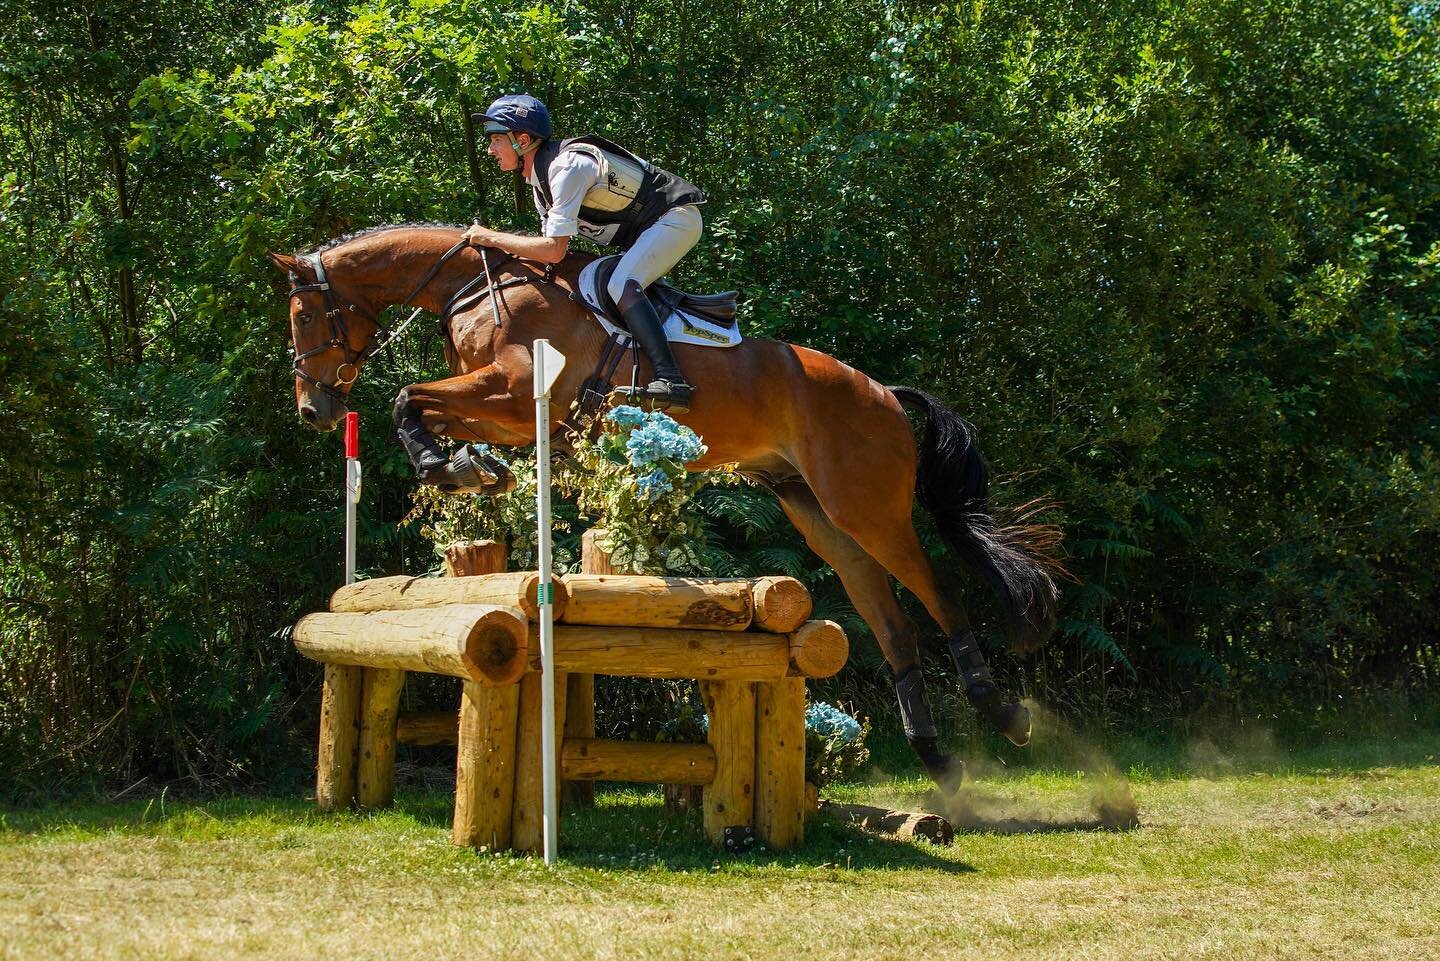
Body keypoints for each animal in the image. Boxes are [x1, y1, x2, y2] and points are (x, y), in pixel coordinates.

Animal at [268, 224, 1064, 786]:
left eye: (304, 317)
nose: (313, 410)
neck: (472, 286)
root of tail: (883, 393)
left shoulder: (518, 390)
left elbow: (408, 396)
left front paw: (450, 465)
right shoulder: (511, 412)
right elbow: (422, 406)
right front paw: (467, 467)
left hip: (868, 507)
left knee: (937, 590)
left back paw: (1006, 714)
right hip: (819, 513)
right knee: (888, 616)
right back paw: (939, 761)